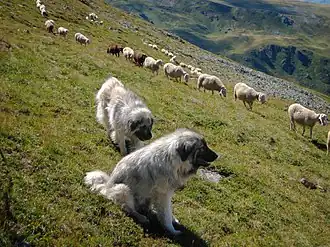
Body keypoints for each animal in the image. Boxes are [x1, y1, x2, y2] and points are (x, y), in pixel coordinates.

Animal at [85, 129, 219, 235]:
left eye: (206, 145)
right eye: (202, 148)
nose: (217, 155)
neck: (174, 160)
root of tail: (105, 186)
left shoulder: (162, 194)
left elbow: (166, 210)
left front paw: (171, 219)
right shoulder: (164, 194)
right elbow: (166, 213)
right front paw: (171, 230)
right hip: (123, 189)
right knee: (126, 207)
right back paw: (141, 217)